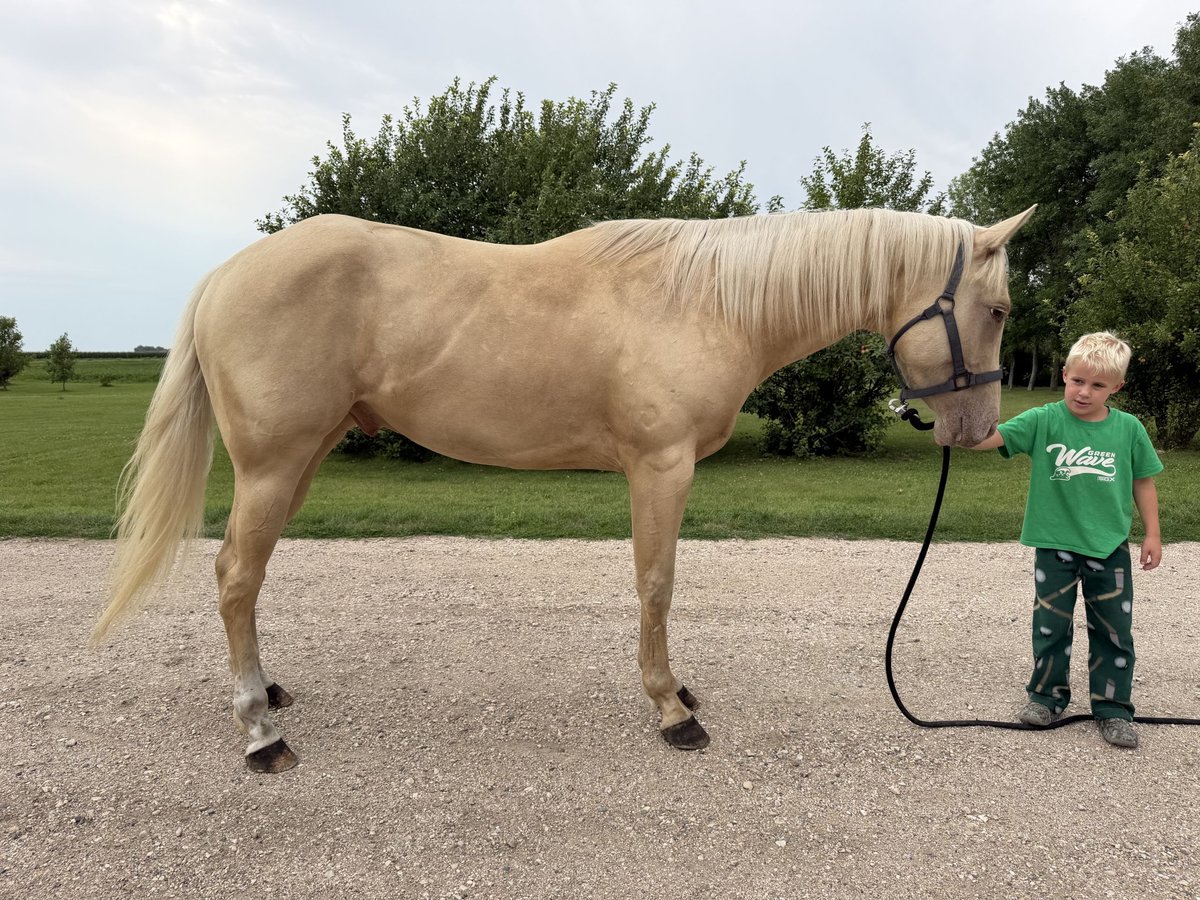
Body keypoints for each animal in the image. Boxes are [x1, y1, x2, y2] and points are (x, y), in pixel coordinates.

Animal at [94, 205, 1034, 772]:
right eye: (998, 311)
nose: (977, 433)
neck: (707, 303)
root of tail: (226, 274)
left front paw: (678, 691)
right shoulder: (661, 467)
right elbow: (656, 585)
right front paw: (671, 709)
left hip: (302, 459)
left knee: (247, 580)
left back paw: (270, 693)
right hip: (274, 464)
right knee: (235, 577)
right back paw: (261, 730)